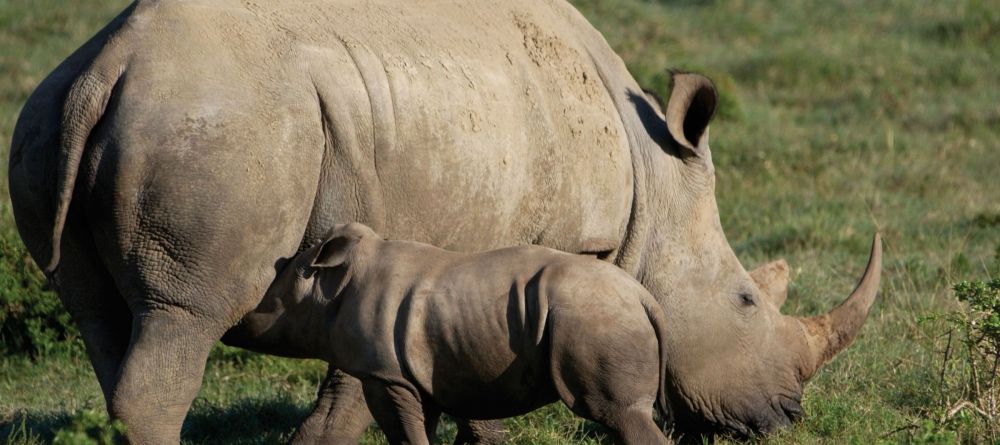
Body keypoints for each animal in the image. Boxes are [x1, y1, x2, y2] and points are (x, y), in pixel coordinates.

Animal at [242, 222, 672, 445]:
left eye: (269, 303)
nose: (241, 323)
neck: (331, 284)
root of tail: (643, 297)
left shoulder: (385, 374)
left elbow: (404, 434)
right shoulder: (415, 372)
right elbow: (419, 428)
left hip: (598, 318)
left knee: (618, 413)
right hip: (603, 315)